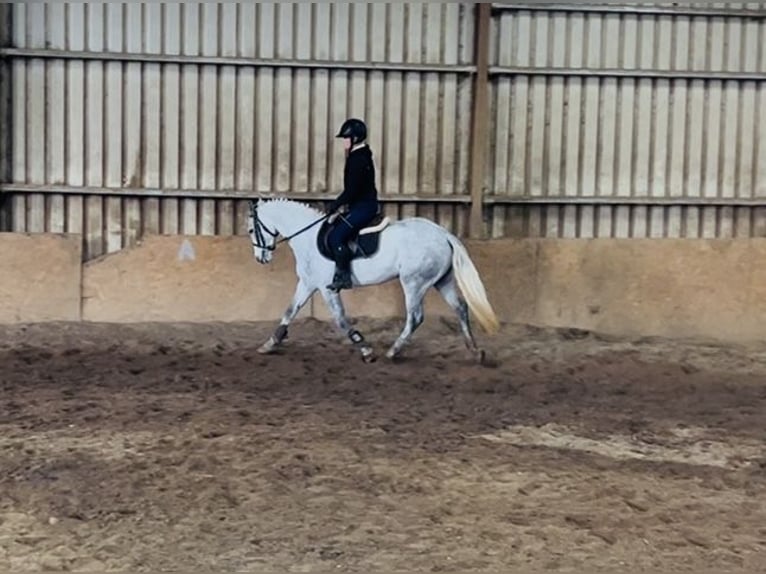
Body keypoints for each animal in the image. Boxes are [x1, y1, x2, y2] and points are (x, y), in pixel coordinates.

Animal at [246, 198, 500, 363]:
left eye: (251, 230)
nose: (260, 258)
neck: (308, 237)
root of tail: (443, 234)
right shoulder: (308, 283)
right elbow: (290, 311)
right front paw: (270, 343)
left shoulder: (327, 289)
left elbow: (340, 319)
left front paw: (365, 348)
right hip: (441, 281)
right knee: (461, 308)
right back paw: (475, 352)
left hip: (414, 283)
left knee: (415, 317)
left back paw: (393, 352)